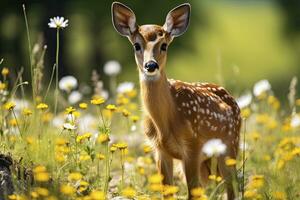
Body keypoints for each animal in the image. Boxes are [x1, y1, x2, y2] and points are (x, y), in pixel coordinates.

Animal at [112, 1, 241, 200]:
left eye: (164, 45)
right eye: (136, 45)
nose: (151, 65)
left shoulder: (193, 145)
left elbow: (193, 193)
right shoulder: (159, 150)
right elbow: (168, 192)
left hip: (230, 145)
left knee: (231, 187)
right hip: (209, 160)